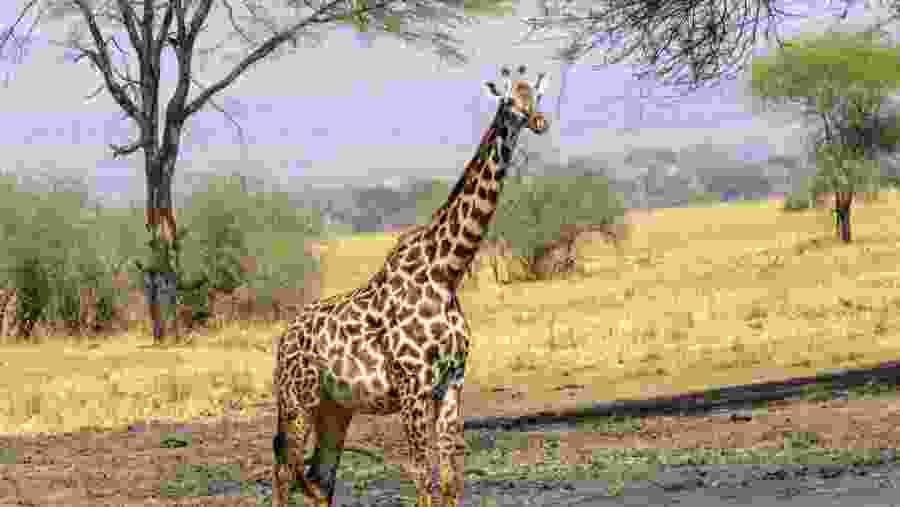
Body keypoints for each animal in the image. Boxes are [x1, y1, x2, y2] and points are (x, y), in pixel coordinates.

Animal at [271, 65, 551, 507]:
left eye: (535, 96)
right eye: (509, 100)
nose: (538, 121)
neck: (446, 272)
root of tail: (282, 340)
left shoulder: (451, 383)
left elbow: (450, 479)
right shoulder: (412, 387)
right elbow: (423, 476)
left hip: (336, 407)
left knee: (319, 477)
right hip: (298, 399)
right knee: (286, 471)